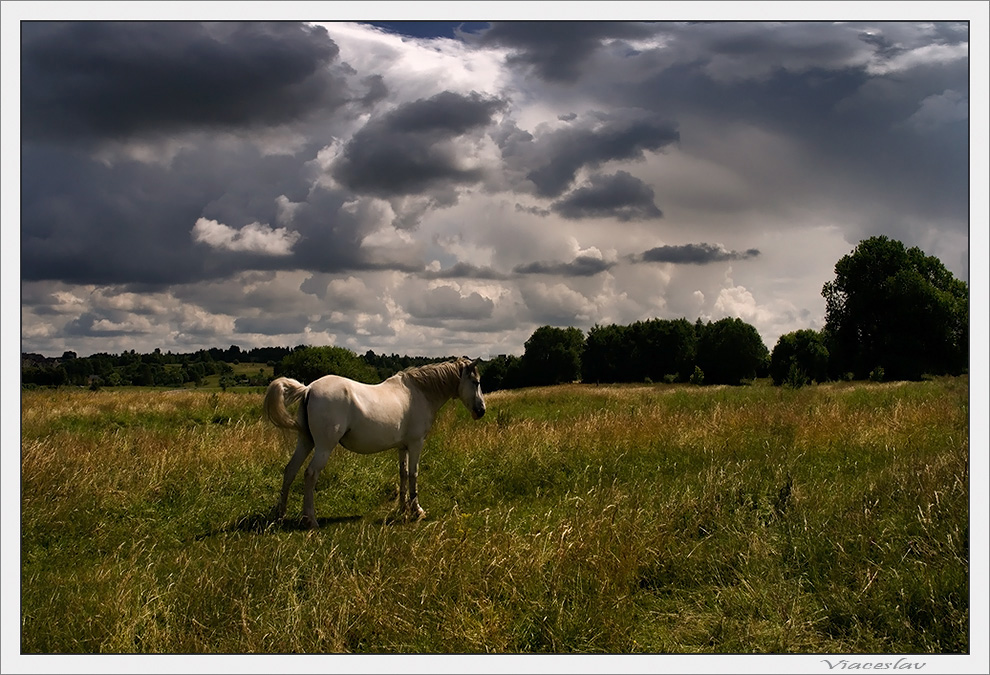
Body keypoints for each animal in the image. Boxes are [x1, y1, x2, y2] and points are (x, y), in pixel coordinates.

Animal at [262, 356, 482, 532]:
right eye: (475, 381)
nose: (481, 411)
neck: (419, 392)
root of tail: (308, 388)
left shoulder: (402, 447)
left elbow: (403, 474)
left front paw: (402, 508)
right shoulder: (416, 443)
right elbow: (413, 474)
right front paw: (417, 510)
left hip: (305, 442)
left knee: (290, 470)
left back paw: (280, 515)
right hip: (324, 447)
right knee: (310, 474)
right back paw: (310, 520)